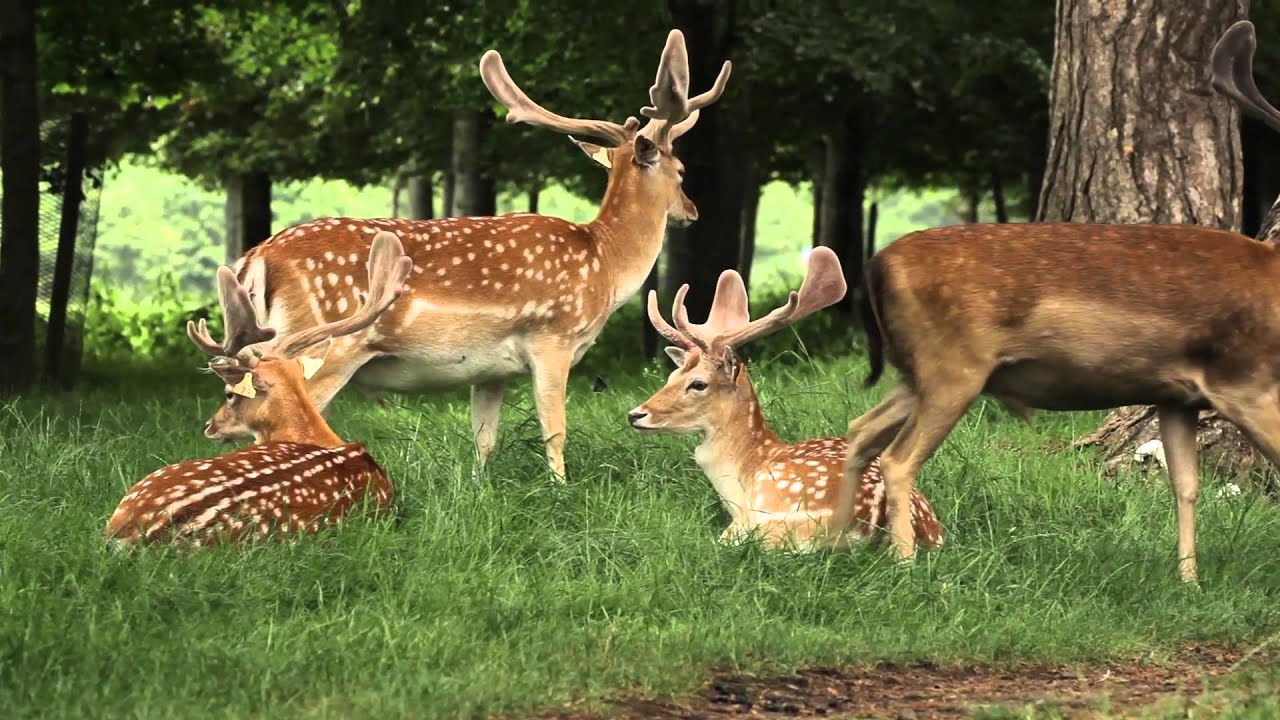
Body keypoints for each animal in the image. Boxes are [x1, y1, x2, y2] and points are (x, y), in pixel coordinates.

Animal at [208, 29, 732, 476]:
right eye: (681, 171)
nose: (692, 211)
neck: (604, 262)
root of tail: (256, 259)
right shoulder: (553, 337)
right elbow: (555, 429)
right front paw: (561, 487)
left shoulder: (491, 370)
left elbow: (484, 439)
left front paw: (482, 489)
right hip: (320, 346)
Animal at [624, 245, 947, 548]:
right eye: (671, 377)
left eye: (698, 384)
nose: (636, 414)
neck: (749, 471)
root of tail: (874, 523)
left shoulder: (743, 521)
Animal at [839, 19, 1280, 584]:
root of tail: (876, 265)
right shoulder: (1244, 379)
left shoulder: (1176, 396)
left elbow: (1185, 485)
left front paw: (1189, 581)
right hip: (952, 366)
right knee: (898, 458)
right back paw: (905, 563)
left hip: (917, 371)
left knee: (860, 430)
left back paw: (831, 542)